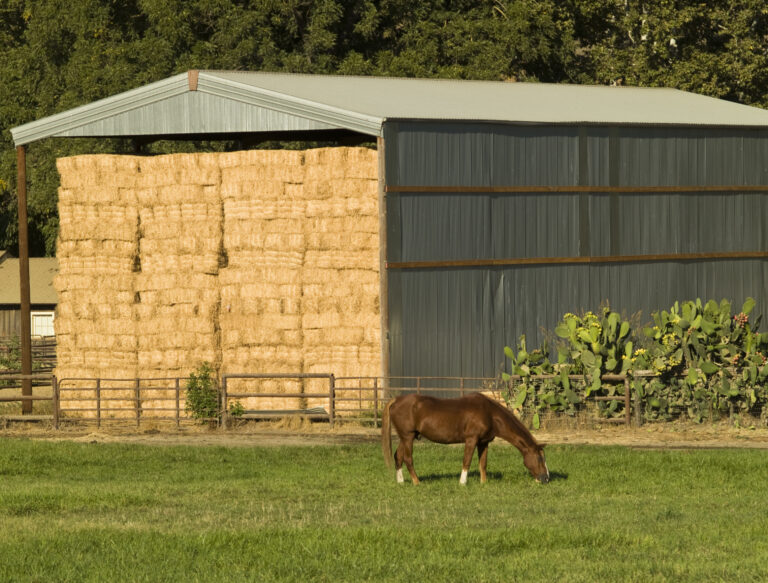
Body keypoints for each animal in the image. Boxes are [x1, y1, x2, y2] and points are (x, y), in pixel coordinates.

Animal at [380, 394, 548, 486]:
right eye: (540, 459)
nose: (546, 478)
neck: (490, 413)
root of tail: (396, 400)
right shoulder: (471, 439)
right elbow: (466, 461)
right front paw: (462, 482)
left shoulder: (483, 442)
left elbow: (483, 464)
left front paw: (483, 482)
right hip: (408, 437)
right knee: (408, 459)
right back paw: (416, 482)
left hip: (406, 437)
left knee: (398, 456)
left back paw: (401, 482)